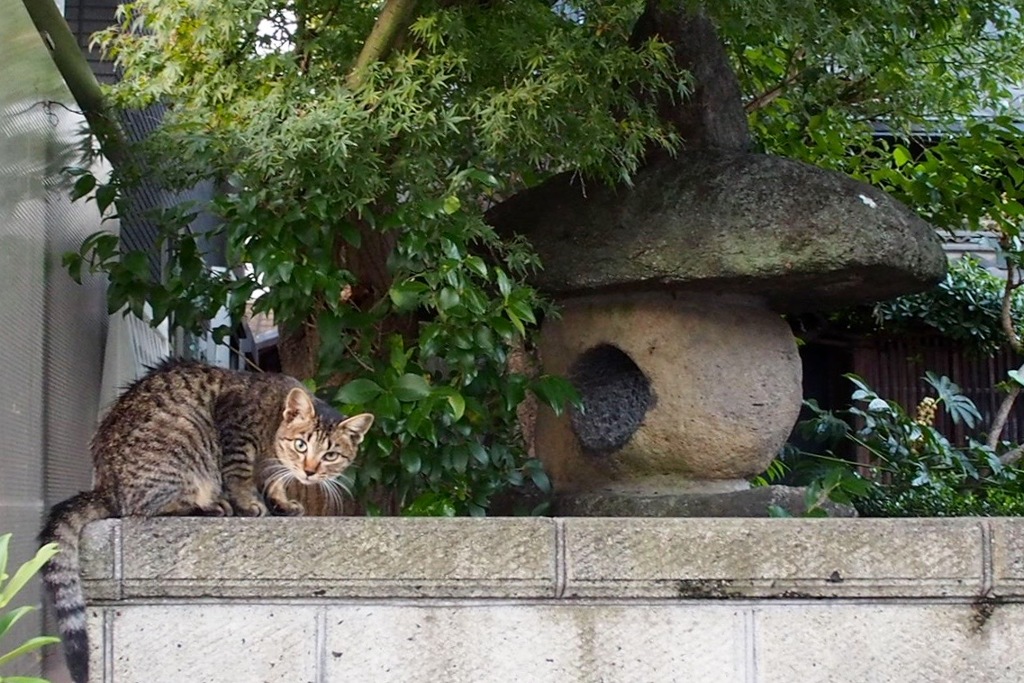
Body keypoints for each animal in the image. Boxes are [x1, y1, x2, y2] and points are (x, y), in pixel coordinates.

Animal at [41, 360, 376, 679]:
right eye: (301, 445)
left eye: (331, 455)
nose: (309, 471)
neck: (273, 425)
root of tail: (106, 487)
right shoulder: (236, 431)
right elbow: (239, 474)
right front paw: (249, 503)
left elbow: (275, 481)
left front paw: (282, 502)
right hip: (182, 438)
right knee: (146, 508)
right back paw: (211, 506)